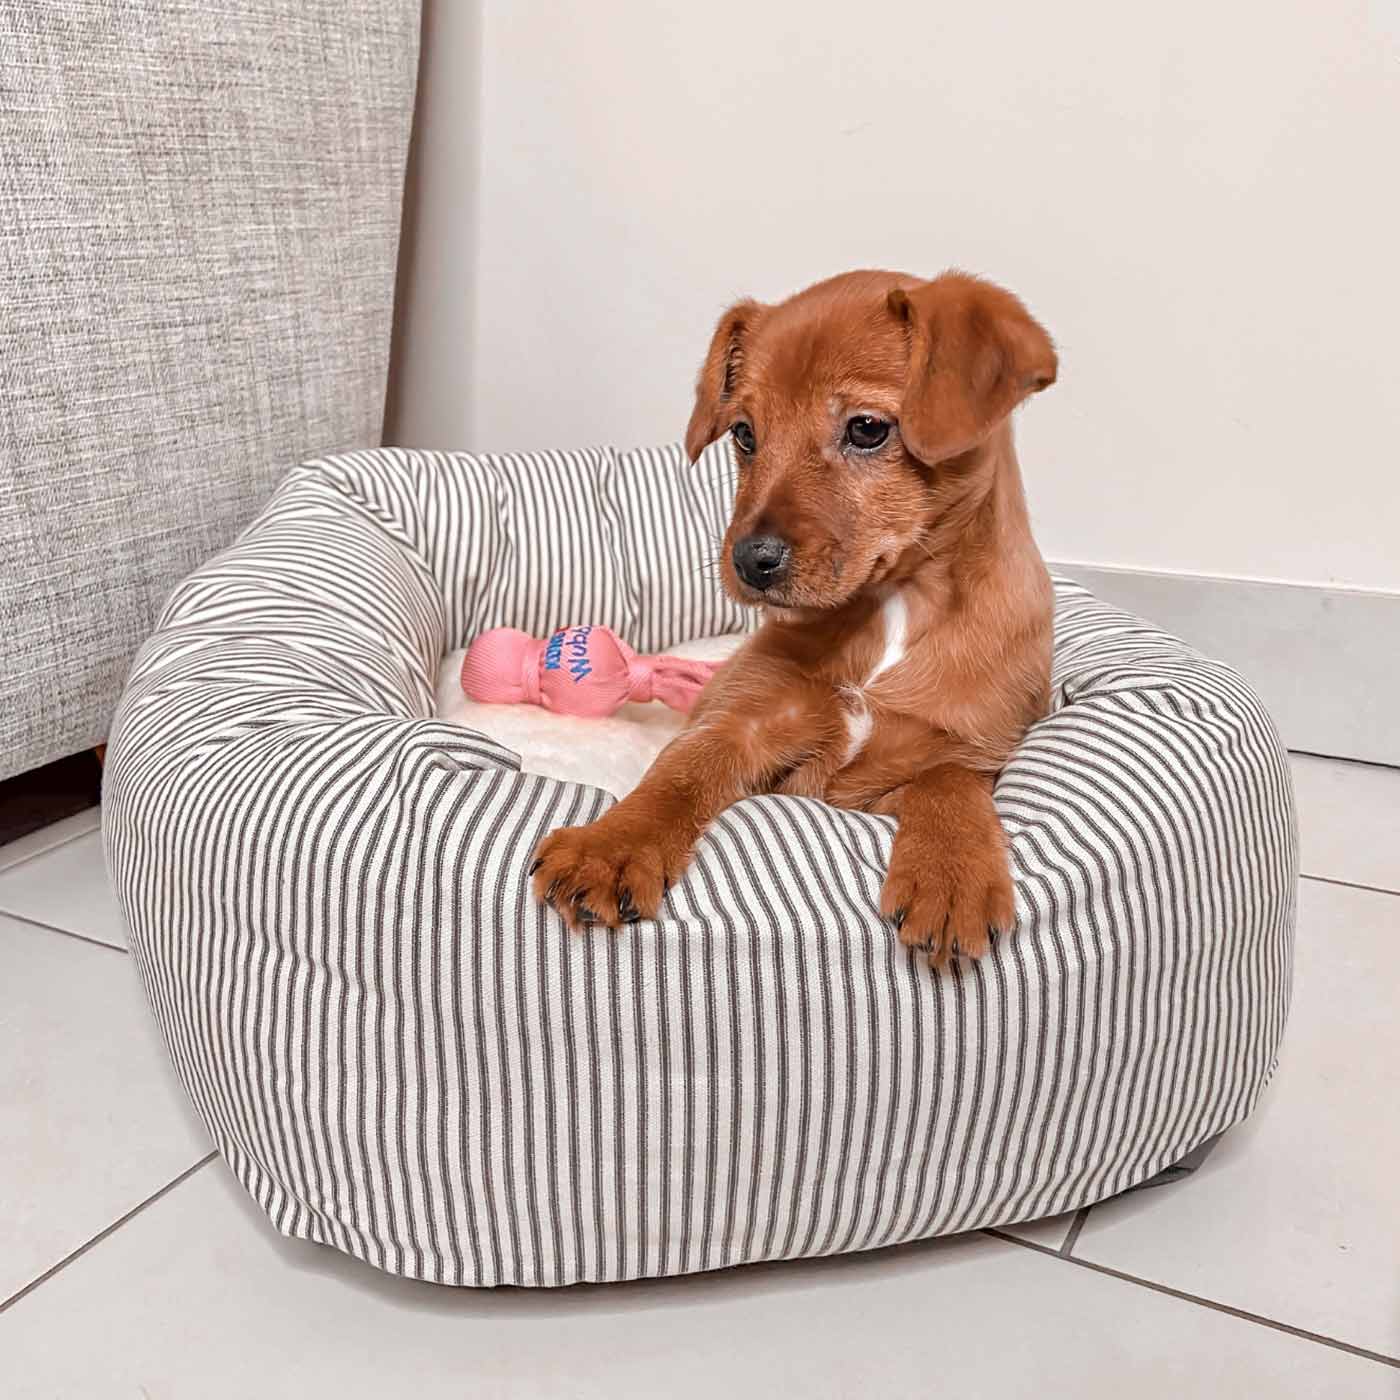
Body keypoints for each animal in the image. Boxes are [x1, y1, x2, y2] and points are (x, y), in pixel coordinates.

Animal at [530, 269, 1056, 965]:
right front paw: (609, 846)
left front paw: (951, 875)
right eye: (744, 435)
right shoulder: (742, 723)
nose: (750, 561)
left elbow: (946, 782)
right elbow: (676, 777)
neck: (890, 611)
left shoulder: (972, 751)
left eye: (867, 429)